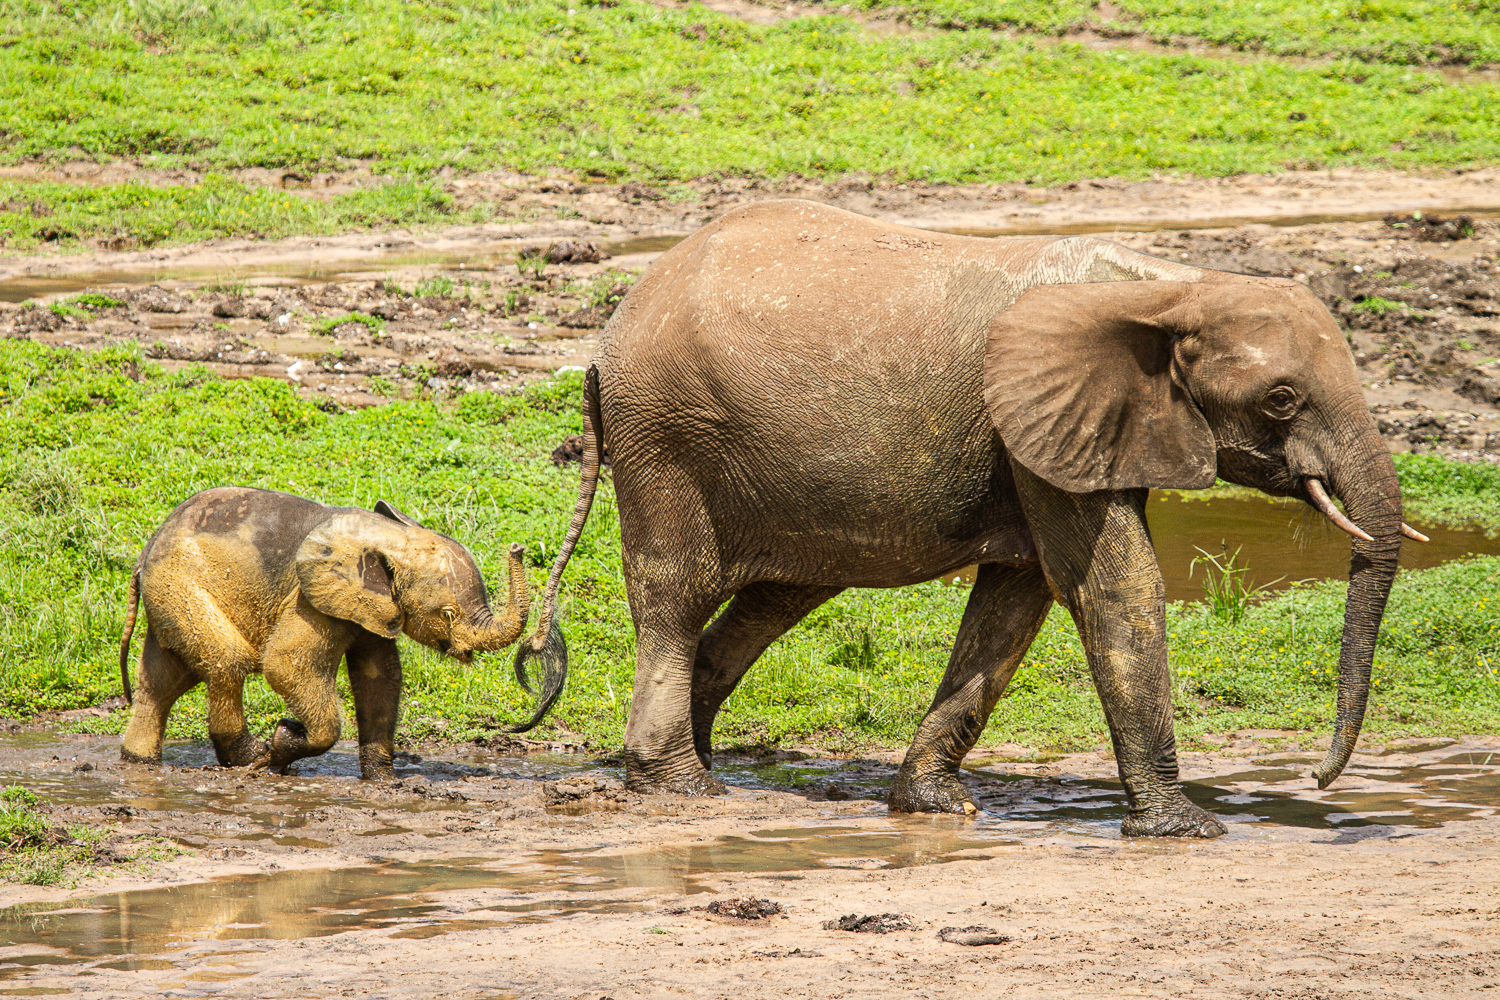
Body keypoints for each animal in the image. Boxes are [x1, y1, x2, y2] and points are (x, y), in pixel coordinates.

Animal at [117, 488, 531, 779]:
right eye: (448, 614)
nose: (517, 546)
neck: (387, 536)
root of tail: (145, 552)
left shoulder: (371, 605)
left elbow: (379, 677)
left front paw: (384, 782)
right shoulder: (309, 596)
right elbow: (286, 665)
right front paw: (283, 740)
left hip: (169, 594)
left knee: (163, 680)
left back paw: (139, 761)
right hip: (181, 583)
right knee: (226, 661)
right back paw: (250, 757)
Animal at [519, 197, 1416, 839]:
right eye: (1281, 399)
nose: (1318, 777)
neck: (1168, 286)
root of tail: (608, 334)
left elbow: (1018, 599)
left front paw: (935, 809)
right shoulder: (1039, 426)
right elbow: (1112, 588)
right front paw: (1190, 830)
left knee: (772, 601)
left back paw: (703, 762)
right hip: (667, 438)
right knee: (675, 596)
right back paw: (683, 787)